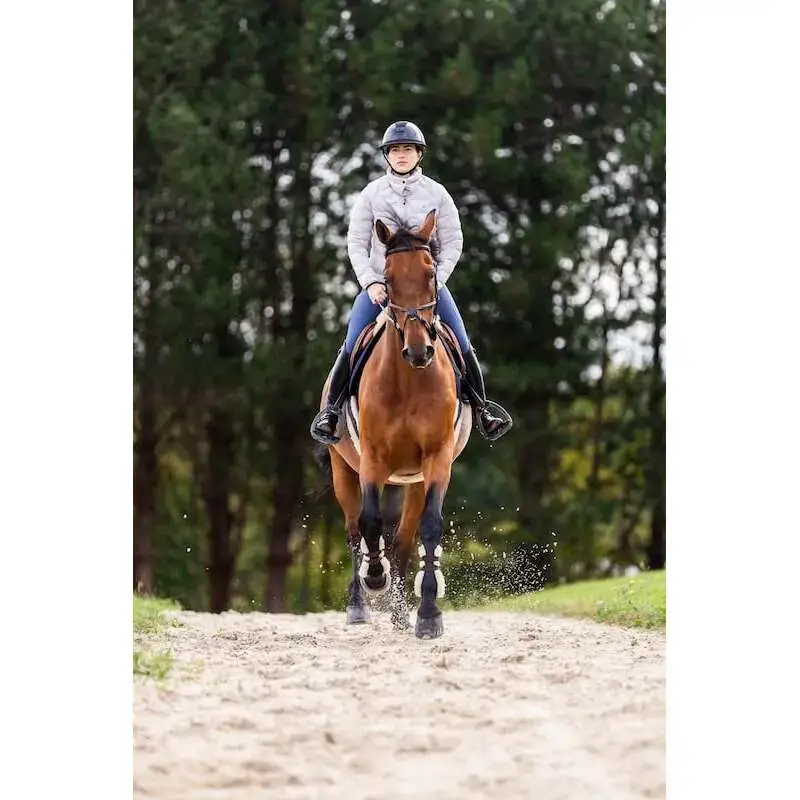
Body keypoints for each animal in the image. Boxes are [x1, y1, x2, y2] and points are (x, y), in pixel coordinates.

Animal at [316, 209, 473, 639]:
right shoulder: (373, 458)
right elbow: (370, 523)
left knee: (403, 539)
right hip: (344, 469)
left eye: (431, 274)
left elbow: (429, 528)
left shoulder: (437, 460)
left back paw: (402, 613)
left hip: (414, 481)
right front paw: (375, 578)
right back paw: (359, 605)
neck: (409, 379)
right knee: (354, 531)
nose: (419, 351)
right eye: (386, 279)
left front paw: (429, 615)